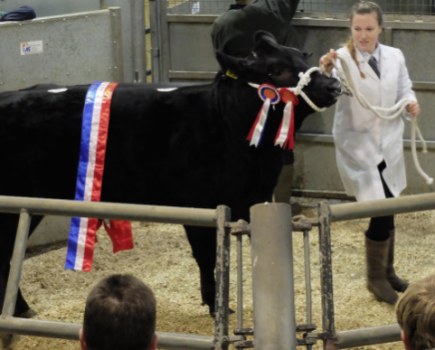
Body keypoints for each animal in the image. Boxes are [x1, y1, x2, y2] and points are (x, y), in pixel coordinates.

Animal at [0, 33, 342, 318]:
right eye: (277, 71)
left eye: (302, 58)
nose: (333, 86)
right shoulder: (200, 205)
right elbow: (208, 256)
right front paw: (216, 306)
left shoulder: (253, 199)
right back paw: (20, 310)